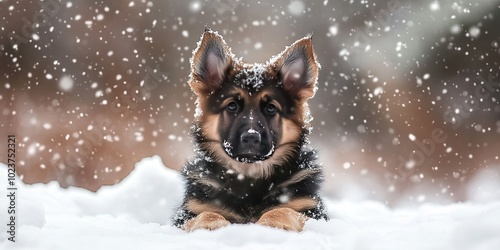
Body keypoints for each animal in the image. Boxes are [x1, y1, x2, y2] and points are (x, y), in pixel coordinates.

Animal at [175, 28, 328, 231]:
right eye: (232, 106)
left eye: (271, 108)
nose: (251, 138)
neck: (248, 179)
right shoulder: (187, 213)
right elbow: (205, 214)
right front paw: (213, 225)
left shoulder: (314, 212)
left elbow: (283, 210)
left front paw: (270, 223)